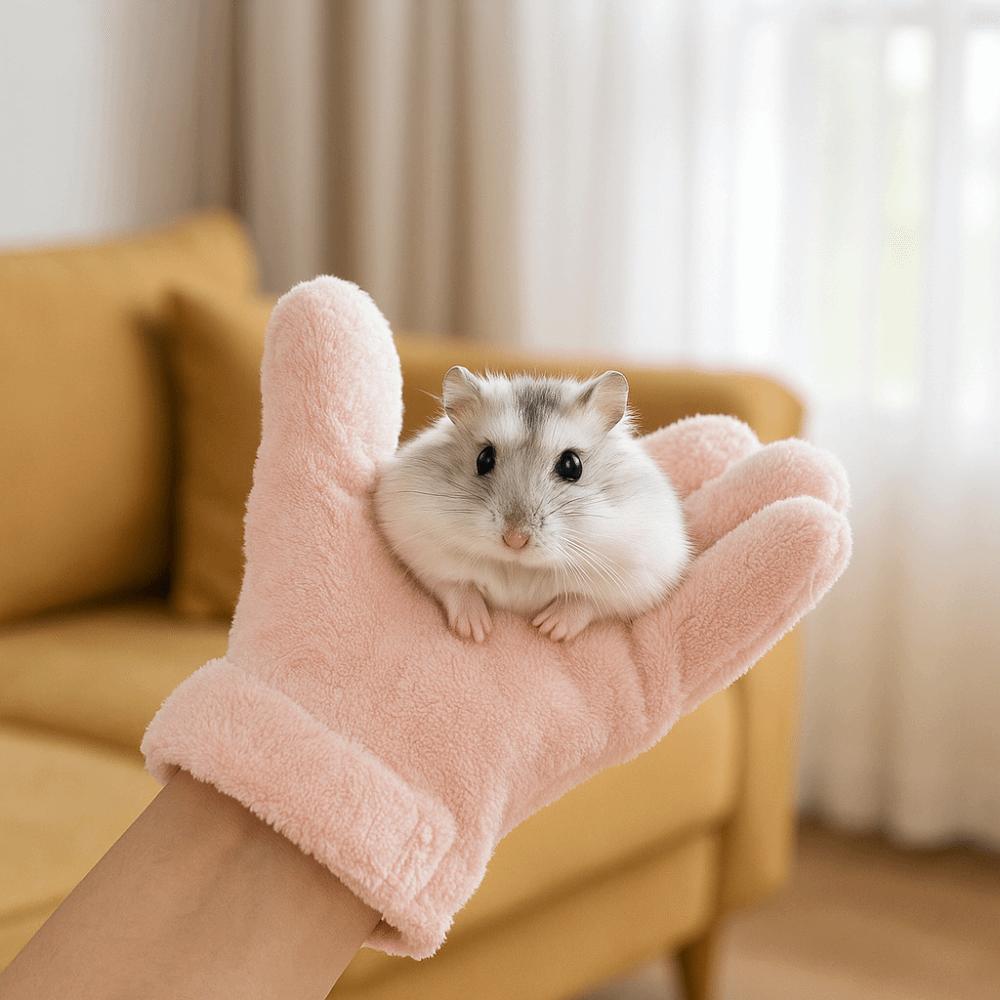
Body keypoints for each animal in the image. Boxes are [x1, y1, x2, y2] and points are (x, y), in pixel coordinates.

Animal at [373, 366, 691, 642]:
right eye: (484, 459)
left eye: (572, 465)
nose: (515, 540)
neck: (520, 567)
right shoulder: (421, 551)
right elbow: (455, 586)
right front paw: (476, 631)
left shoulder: (638, 580)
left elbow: (585, 602)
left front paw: (549, 630)